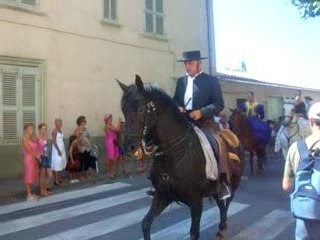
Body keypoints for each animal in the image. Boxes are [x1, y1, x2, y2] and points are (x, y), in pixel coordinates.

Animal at [117, 75, 242, 240]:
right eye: (124, 110)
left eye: (140, 109)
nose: (129, 148)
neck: (173, 154)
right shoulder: (162, 196)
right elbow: (145, 223)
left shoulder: (196, 202)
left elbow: (194, 233)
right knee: (221, 204)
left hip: (232, 183)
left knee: (226, 204)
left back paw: (222, 227)